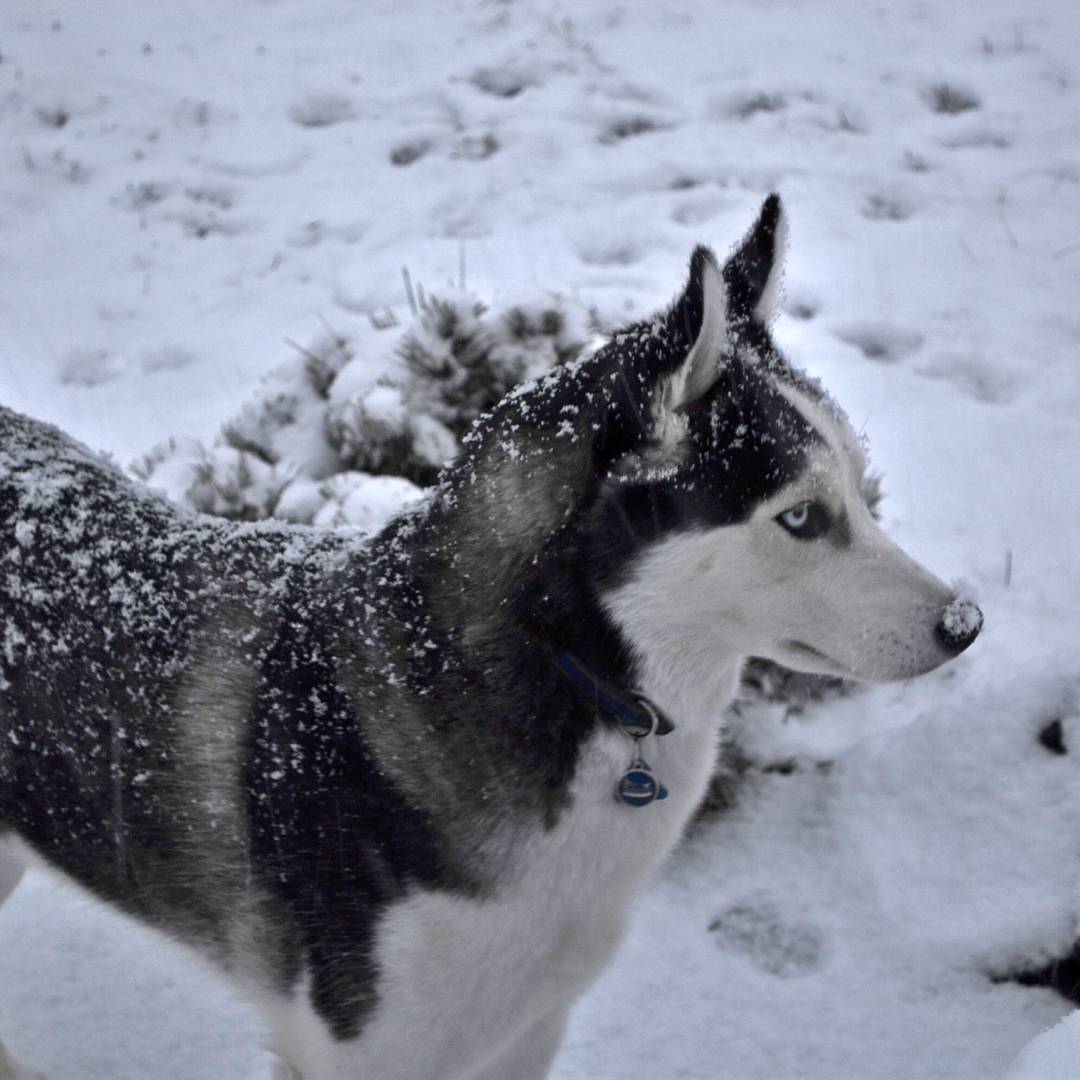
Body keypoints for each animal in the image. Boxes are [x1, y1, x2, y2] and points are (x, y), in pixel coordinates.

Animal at [0, 196, 980, 1080]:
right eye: (801, 517)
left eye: (859, 486)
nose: (965, 624)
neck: (558, 667)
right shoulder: (358, 1053)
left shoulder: (526, 1027)